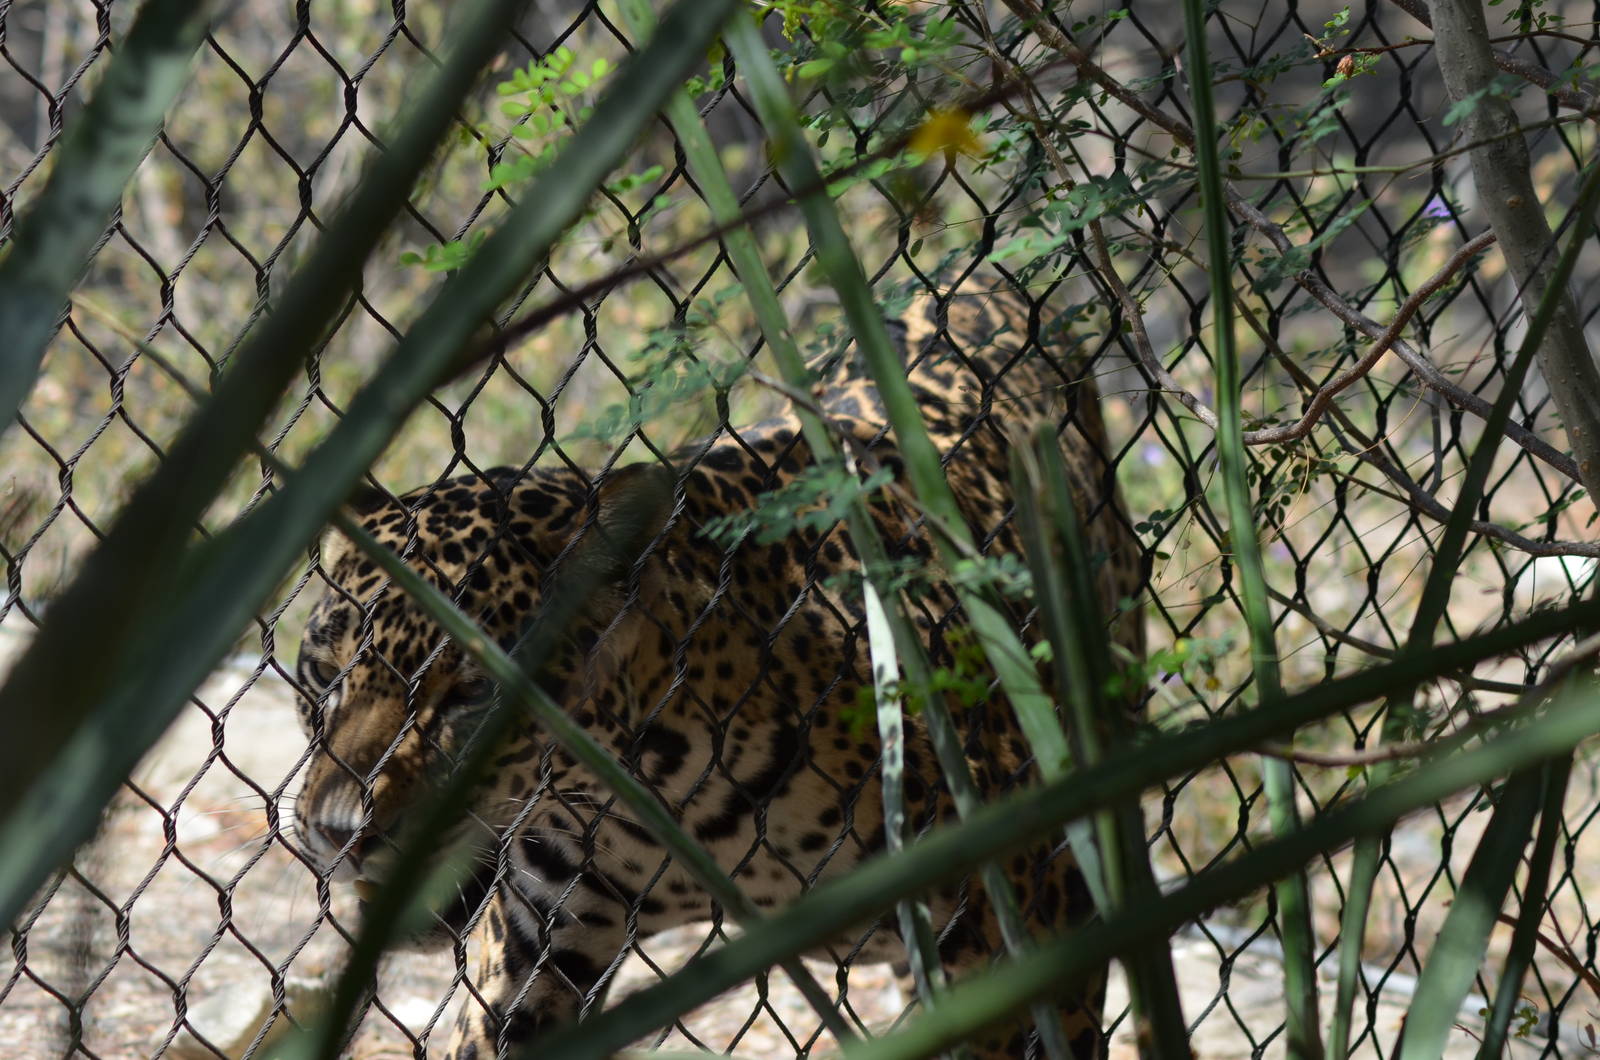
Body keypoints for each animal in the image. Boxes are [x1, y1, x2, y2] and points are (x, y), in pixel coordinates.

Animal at [292, 281, 1145, 1059]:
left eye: (469, 693)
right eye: (323, 677)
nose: (337, 835)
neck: (657, 790)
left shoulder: (1029, 922)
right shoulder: (537, 950)